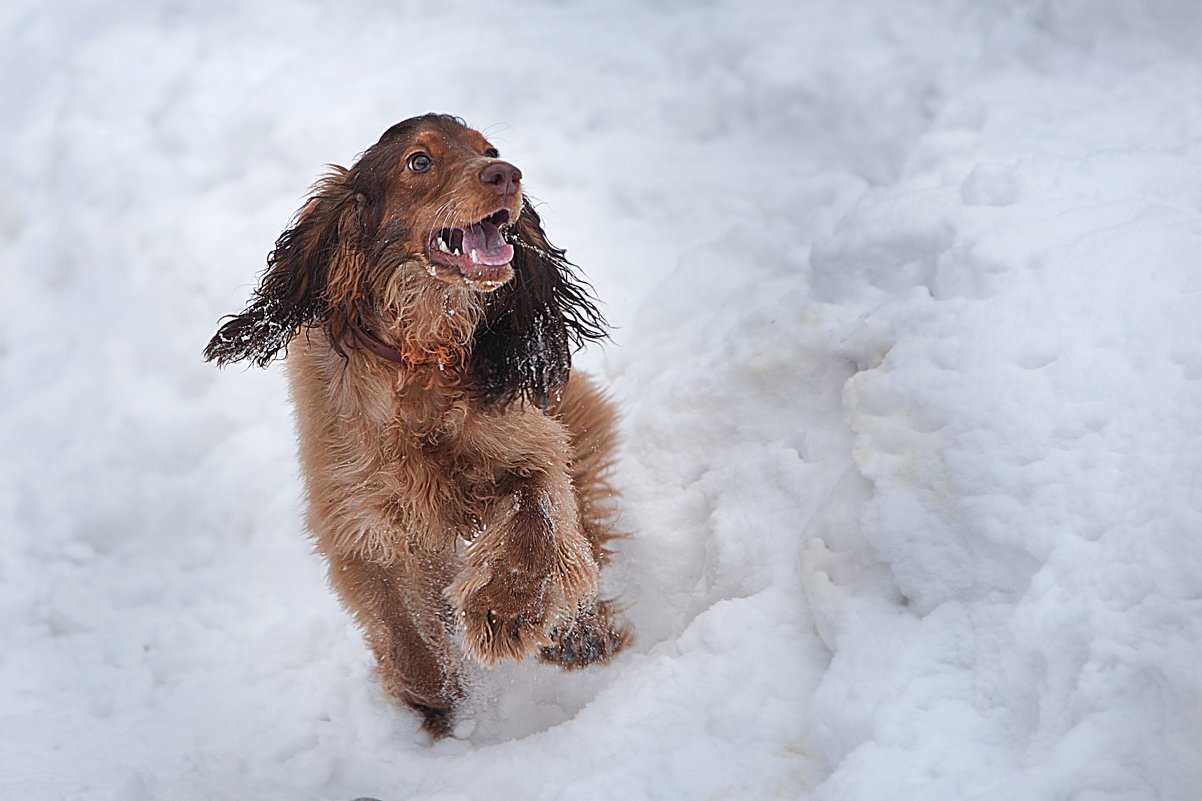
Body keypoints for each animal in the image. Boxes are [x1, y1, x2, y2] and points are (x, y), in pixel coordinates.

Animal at [204, 113, 639, 736]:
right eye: (419, 161)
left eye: (490, 150)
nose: (508, 175)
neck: (419, 356)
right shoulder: (358, 521)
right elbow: (405, 629)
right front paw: (436, 702)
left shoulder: (530, 443)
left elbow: (537, 512)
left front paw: (505, 611)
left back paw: (582, 637)